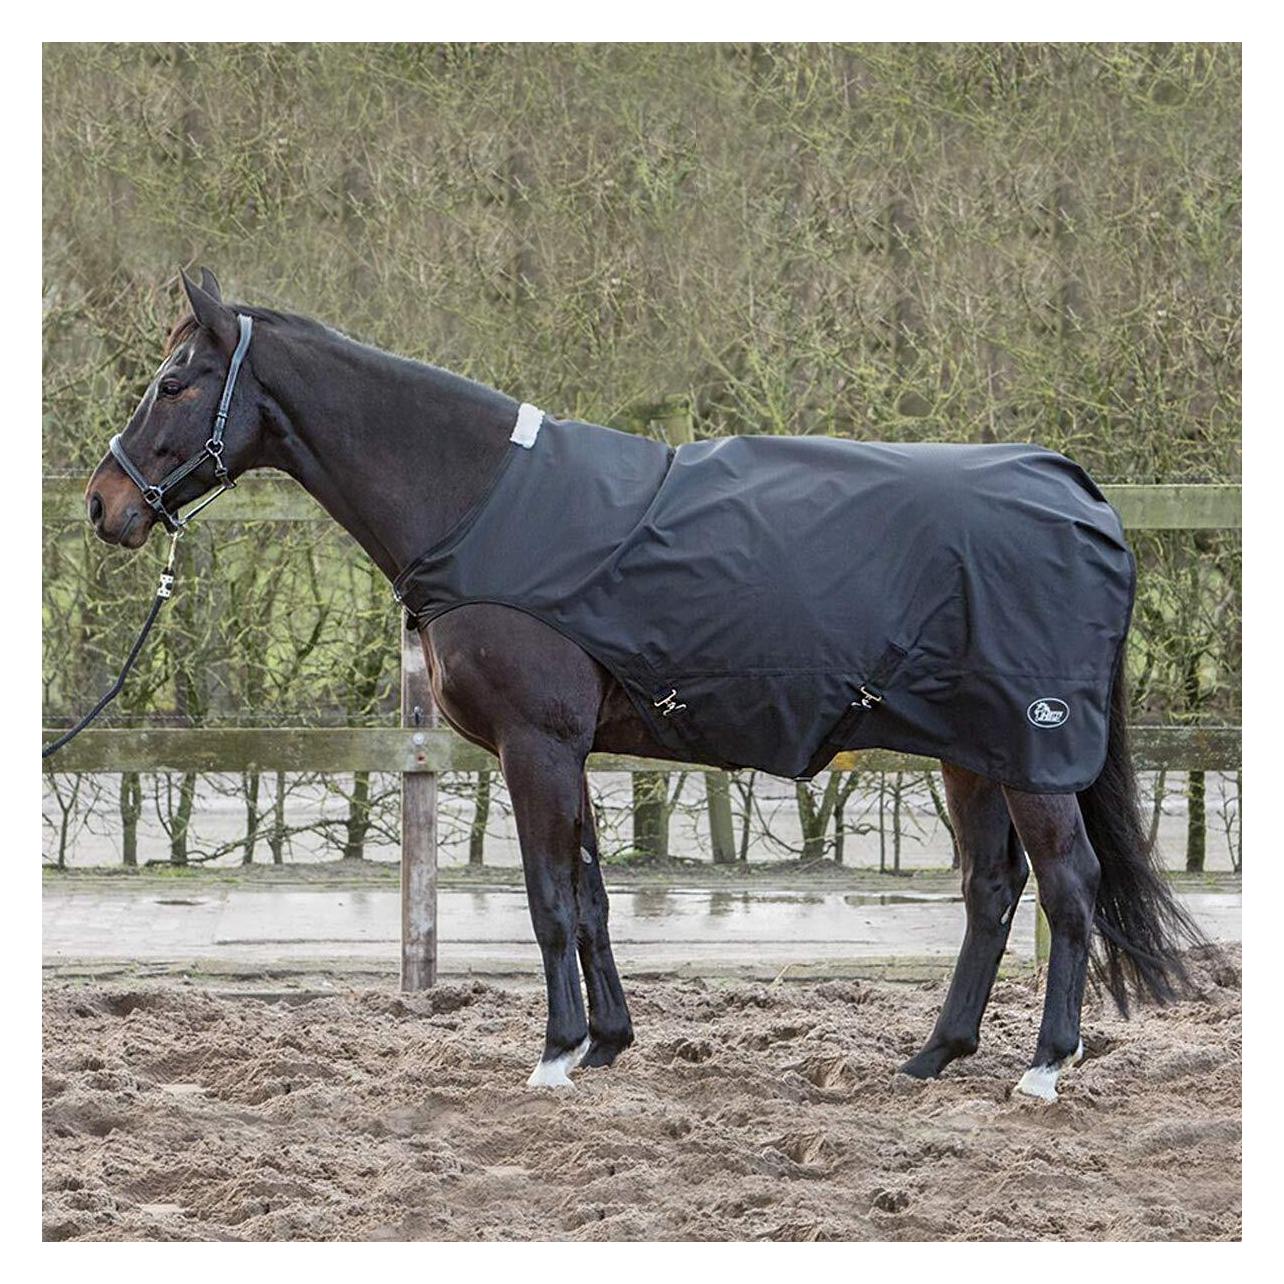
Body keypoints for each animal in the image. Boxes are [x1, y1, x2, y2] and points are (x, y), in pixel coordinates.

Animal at [84, 269, 1203, 1098]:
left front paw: (553, 1056)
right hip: (973, 752)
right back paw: (934, 1055)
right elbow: (589, 895)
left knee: (1069, 887)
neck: (481, 500)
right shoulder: (566, 750)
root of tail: (1079, 494)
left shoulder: (536, 745)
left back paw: (1045, 1067)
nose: (104, 506)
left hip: (1034, 750)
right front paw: (607, 1041)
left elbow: (548, 898)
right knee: (991, 891)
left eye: (175, 381)